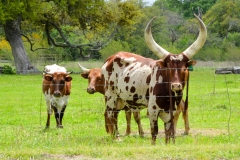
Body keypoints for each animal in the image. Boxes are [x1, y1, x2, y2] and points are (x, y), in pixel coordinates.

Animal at [101, 14, 206, 145]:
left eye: (184, 68)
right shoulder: (152, 111)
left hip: (120, 99)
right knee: (111, 115)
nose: (176, 86)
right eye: (168, 68)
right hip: (110, 96)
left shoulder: (171, 113)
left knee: (114, 115)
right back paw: (116, 138)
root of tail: (110, 58)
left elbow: (169, 133)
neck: (169, 95)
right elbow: (154, 133)